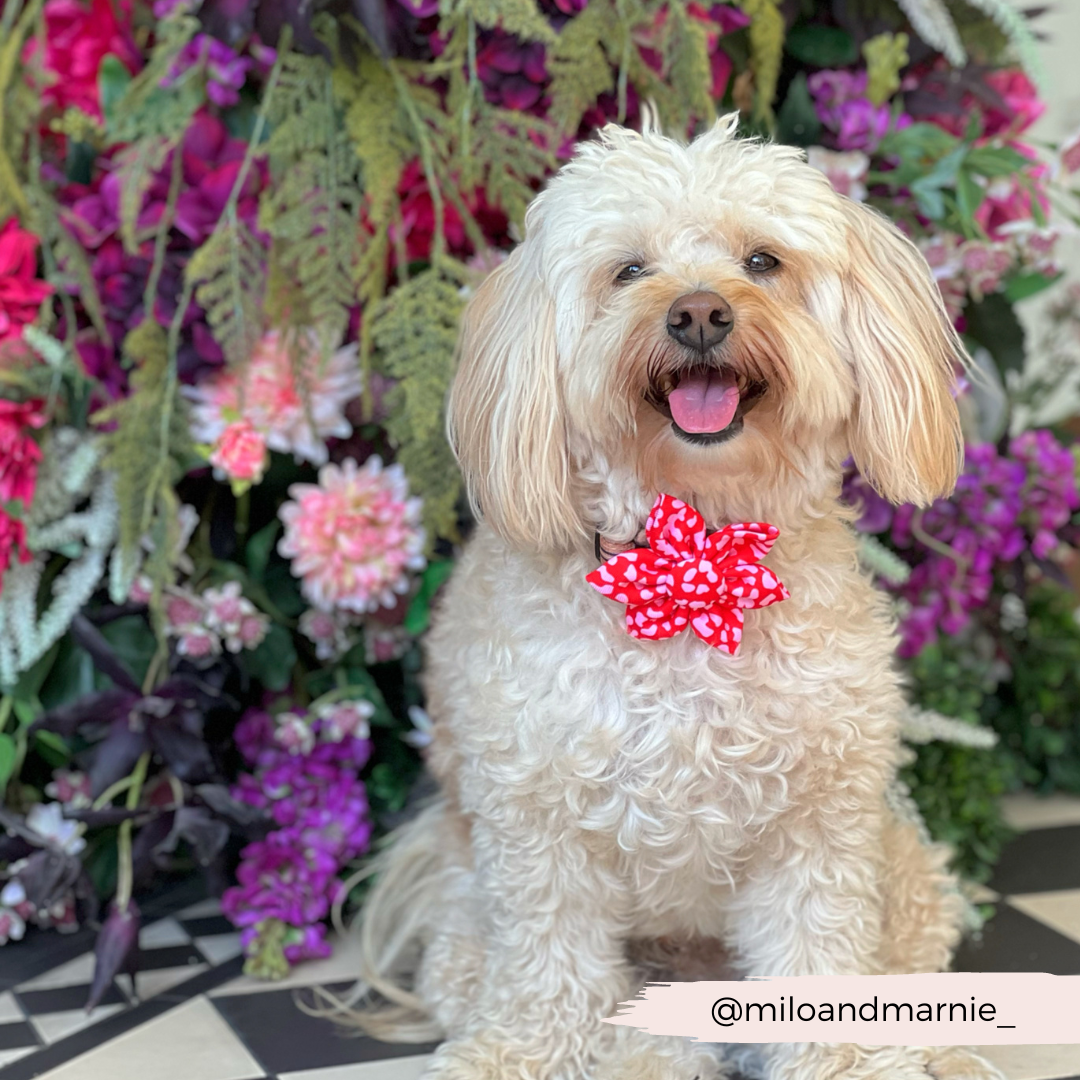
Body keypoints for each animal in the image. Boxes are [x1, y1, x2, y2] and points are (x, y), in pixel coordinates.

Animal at [343, 118, 1002, 1080]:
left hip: (904, 869)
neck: (692, 560)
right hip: (475, 906)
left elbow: (819, 954)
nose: (699, 313)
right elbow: (548, 962)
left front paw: (840, 1059)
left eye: (762, 261)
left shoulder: (821, 821)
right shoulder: (538, 825)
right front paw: (522, 1052)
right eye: (628, 270)